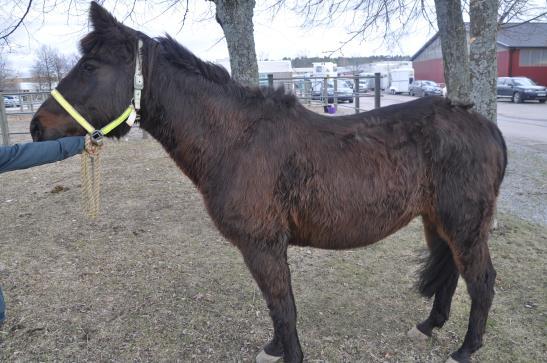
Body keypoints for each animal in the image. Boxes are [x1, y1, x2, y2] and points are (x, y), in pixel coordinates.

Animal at [31, 3, 510, 363]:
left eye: (90, 65)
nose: (37, 127)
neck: (236, 139)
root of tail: (484, 125)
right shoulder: (262, 247)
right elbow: (275, 304)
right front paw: (275, 348)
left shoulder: (263, 243)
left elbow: (283, 306)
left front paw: (289, 353)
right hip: (437, 221)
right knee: (452, 275)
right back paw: (428, 327)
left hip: (465, 224)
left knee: (482, 281)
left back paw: (466, 350)